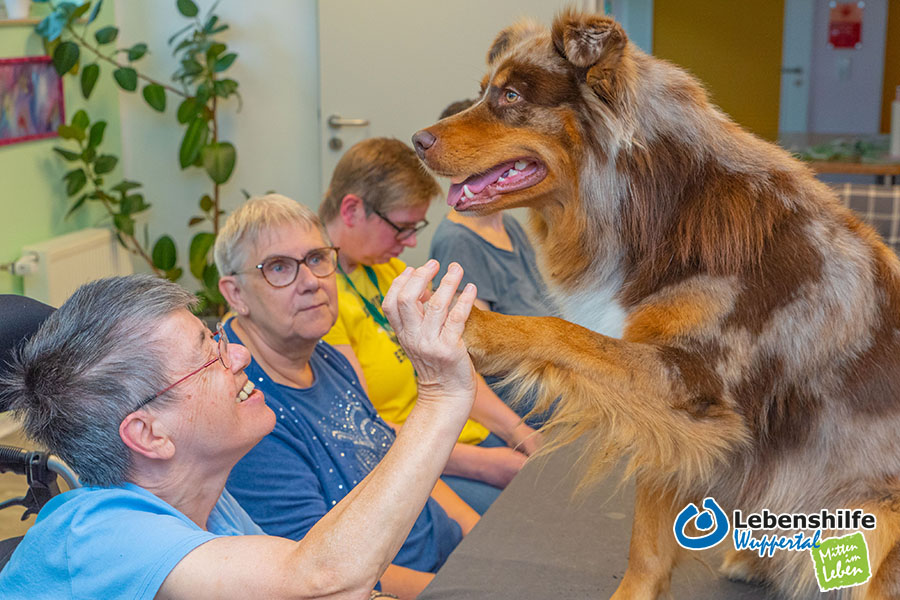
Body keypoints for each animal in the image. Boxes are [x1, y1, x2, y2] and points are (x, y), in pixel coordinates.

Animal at [414, 9, 900, 600]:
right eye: (486, 90)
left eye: (510, 96)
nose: (416, 139)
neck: (658, 201)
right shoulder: (674, 419)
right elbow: (647, 539)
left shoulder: (691, 386)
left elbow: (557, 330)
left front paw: (476, 325)